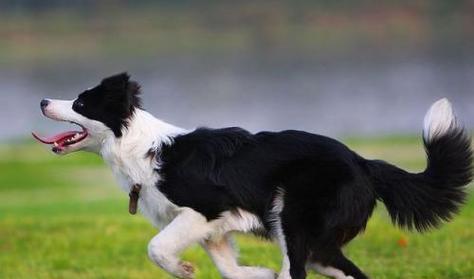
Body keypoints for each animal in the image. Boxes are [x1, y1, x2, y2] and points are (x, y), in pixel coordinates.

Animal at [31, 73, 472, 278]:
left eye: (80, 103)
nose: (42, 100)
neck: (140, 148)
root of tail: (365, 163)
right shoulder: (213, 228)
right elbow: (228, 268)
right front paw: (256, 273)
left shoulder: (206, 208)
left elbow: (156, 248)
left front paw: (183, 269)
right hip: (320, 245)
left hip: (293, 221)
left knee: (295, 271)